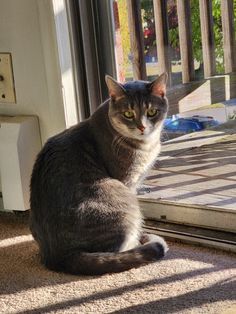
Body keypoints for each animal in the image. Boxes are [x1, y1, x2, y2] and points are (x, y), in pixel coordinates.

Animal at [30, 73, 170, 274]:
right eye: (128, 114)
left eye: (152, 112)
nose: (142, 127)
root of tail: (58, 256)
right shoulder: (128, 181)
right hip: (123, 203)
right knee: (118, 250)